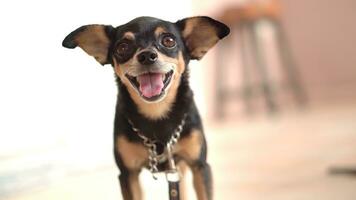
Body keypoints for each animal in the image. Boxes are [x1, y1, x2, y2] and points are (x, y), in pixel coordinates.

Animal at [63, 16, 231, 200]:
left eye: (169, 41)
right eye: (122, 47)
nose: (146, 56)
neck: (156, 113)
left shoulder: (199, 166)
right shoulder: (128, 174)